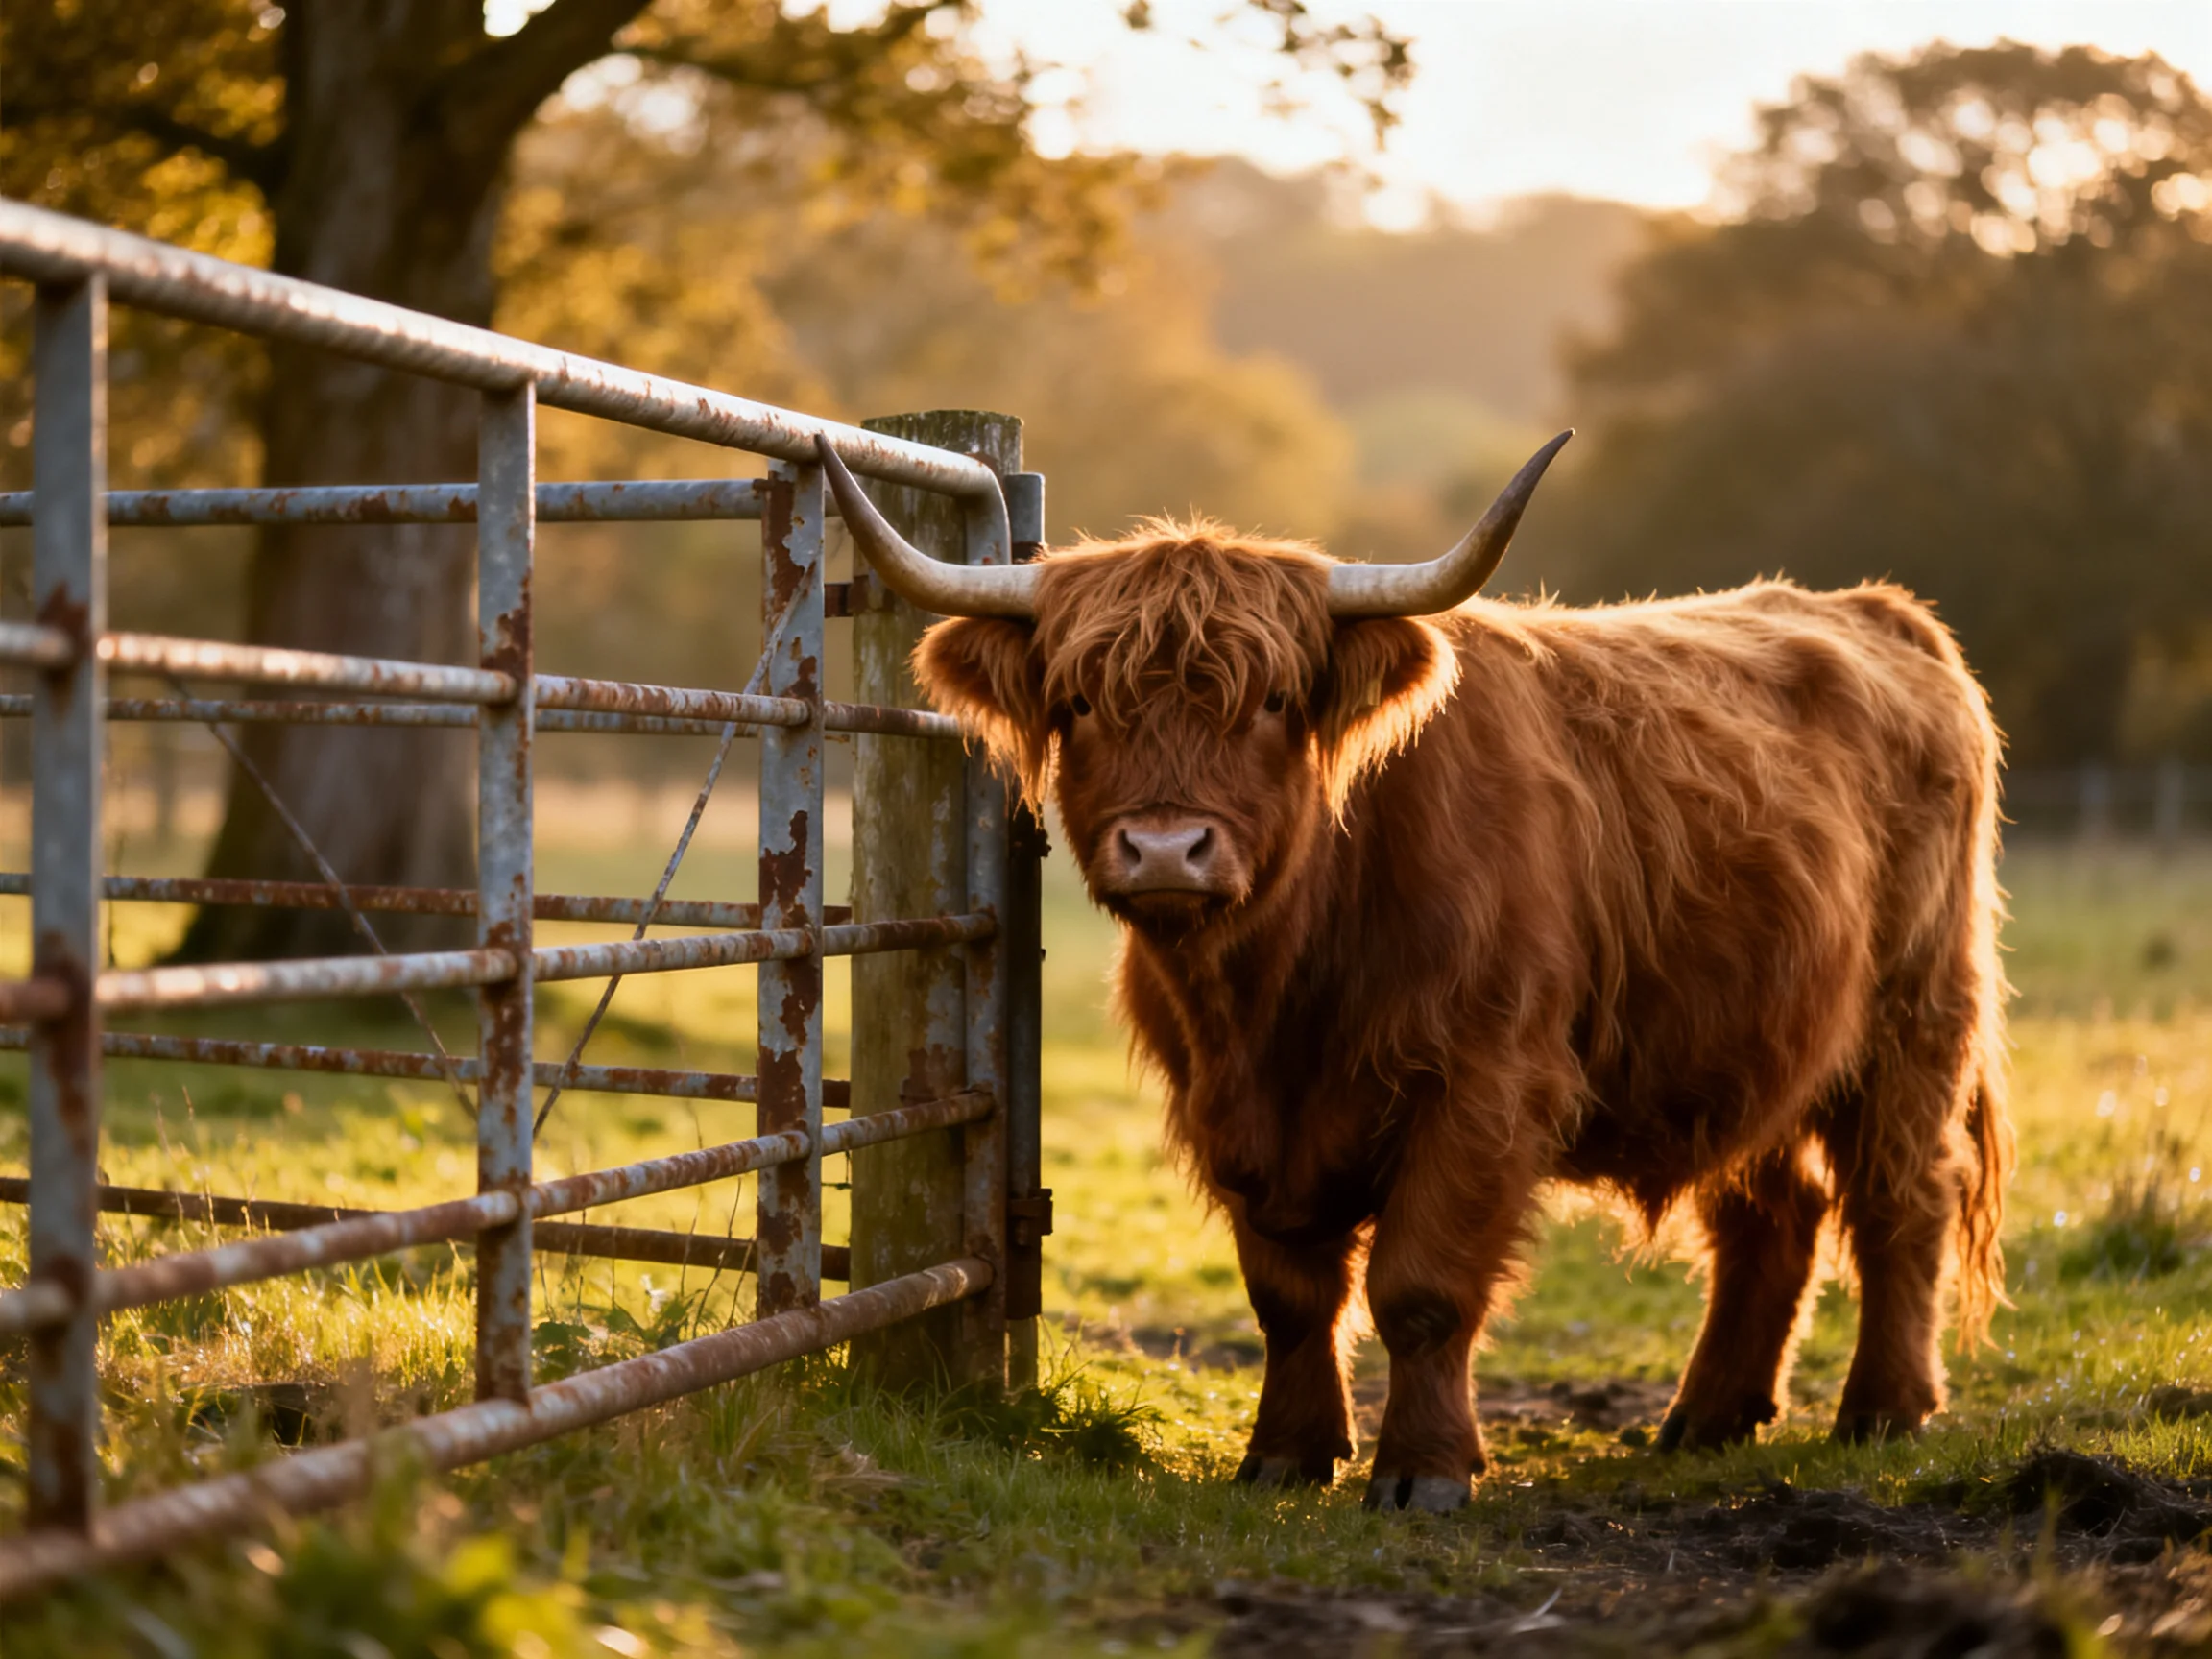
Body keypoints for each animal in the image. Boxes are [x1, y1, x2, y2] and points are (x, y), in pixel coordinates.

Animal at [815, 432, 2010, 1513]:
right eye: (1081, 703)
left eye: (1272, 702)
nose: (1163, 850)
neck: (1279, 993)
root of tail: (1872, 611)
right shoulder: (1236, 1115)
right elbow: (1290, 1297)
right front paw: (1285, 1455)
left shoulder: (1484, 1083)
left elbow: (1421, 1290)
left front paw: (1423, 1471)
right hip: (1738, 1039)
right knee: (1773, 1212)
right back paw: (1708, 1418)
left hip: (1913, 1018)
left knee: (1902, 1195)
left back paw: (1885, 1409)